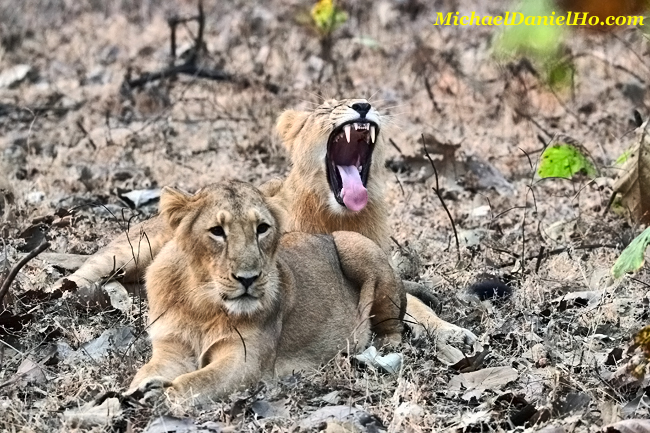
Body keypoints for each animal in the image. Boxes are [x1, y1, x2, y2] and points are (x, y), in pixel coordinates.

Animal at [58, 98, 476, 352]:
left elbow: (412, 301)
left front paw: (453, 331)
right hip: (127, 252)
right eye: (327, 108)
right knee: (83, 274)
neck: (343, 214)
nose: (362, 105)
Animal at [124, 181, 402, 404]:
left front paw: (160, 394)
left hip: (355, 243)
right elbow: (145, 372)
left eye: (262, 228)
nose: (248, 278)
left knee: (392, 326)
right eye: (217, 231)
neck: (201, 303)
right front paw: (134, 392)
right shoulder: (172, 348)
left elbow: (194, 382)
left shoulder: (246, 361)